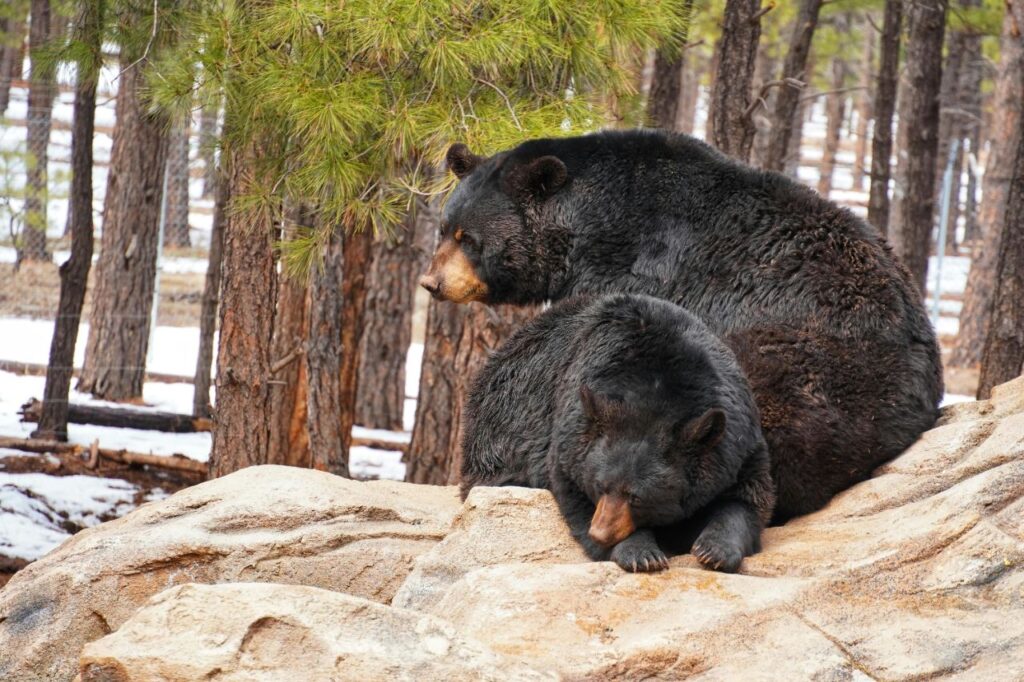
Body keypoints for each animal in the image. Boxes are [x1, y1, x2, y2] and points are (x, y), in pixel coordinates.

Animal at [422, 129, 943, 522]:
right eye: (444, 229)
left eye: (470, 238)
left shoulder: (640, 268)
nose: (431, 282)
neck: (587, 226)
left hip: (807, 368)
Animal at [461, 293, 775, 573]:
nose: (600, 533)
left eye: (637, 497)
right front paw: (640, 553)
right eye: (601, 486)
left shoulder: (738, 443)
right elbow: (573, 492)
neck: (657, 391)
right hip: (496, 439)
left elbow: (748, 499)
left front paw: (715, 550)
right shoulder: (569, 434)